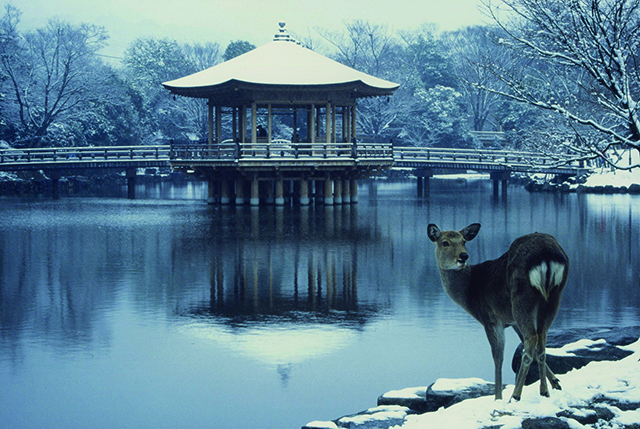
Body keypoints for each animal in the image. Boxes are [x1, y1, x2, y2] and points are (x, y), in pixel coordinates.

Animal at [428, 222, 568, 400]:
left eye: (463, 241)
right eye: (445, 242)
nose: (463, 256)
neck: (469, 293)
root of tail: (546, 254)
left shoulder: (491, 319)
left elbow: (498, 357)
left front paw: (497, 397)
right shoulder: (512, 321)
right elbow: (531, 347)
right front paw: (556, 382)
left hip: (521, 299)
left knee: (531, 340)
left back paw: (515, 395)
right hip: (554, 296)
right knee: (541, 339)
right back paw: (544, 391)